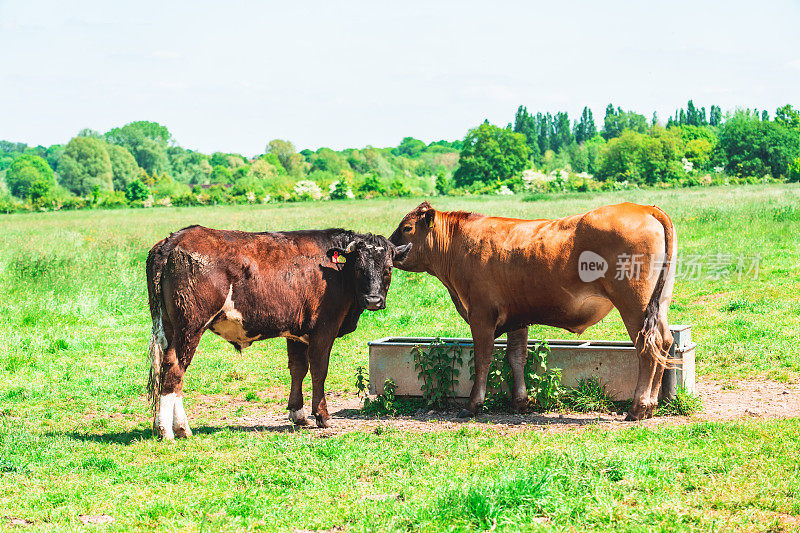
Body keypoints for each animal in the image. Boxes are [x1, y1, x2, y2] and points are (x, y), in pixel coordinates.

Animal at [145, 224, 412, 436]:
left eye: (388, 268)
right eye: (359, 268)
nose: (373, 300)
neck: (335, 272)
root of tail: (173, 240)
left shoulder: (296, 333)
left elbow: (298, 369)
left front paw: (298, 414)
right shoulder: (323, 329)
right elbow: (319, 371)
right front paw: (322, 416)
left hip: (170, 327)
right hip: (190, 327)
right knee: (175, 368)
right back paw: (173, 429)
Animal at [390, 201, 680, 420]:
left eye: (406, 228)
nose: (388, 247)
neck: (460, 245)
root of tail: (644, 208)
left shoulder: (481, 314)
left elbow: (483, 358)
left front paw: (473, 405)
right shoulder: (518, 318)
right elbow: (516, 356)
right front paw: (520, 401)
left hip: (634, 305)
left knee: (647, 347)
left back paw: (638, 407)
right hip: (659, 305)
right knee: (664, 342)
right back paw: (652, 405)